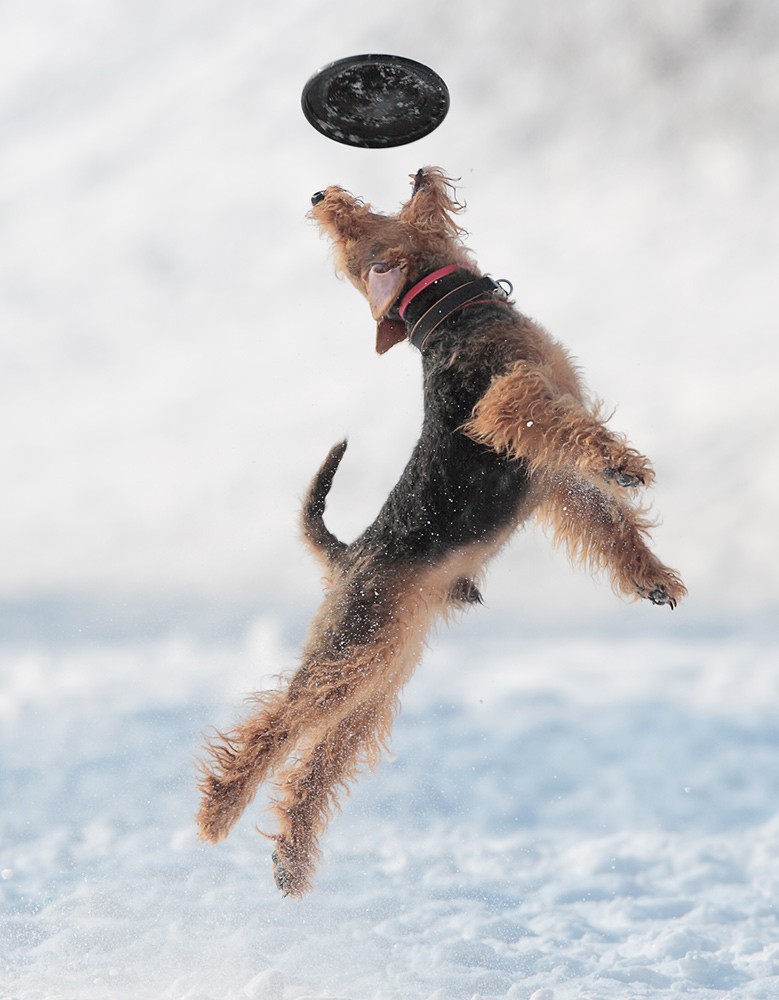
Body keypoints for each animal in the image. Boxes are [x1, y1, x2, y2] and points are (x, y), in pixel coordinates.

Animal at [198, 168, 684, 896]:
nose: (321, 196)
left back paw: (290, 857)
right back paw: (217, 811)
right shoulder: (506, 405)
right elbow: (566, 430)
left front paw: (651, 577)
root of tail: (347, 556)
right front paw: (624, 463)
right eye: (356, 236)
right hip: (352, 652)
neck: (447, 309)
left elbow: (606, 518)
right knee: (274, 724)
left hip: (377, 678)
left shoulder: (549, 477)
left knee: (317, 761)